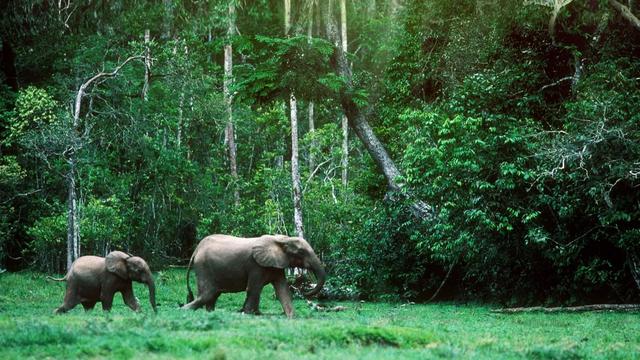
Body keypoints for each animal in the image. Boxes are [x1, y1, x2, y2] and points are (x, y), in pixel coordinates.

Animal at [184, 235, 324, 316]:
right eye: (301, 252)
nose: (304, 291)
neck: (282, 239)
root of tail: (196, 249)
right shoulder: (256, 265)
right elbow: (254, 288)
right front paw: (249, 314)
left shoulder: (275, 264)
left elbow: (282, 290)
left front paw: (291, 317)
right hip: (203, 266)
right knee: (208, 293)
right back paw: (184, 310)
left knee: (212, 294)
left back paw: (209, 313)